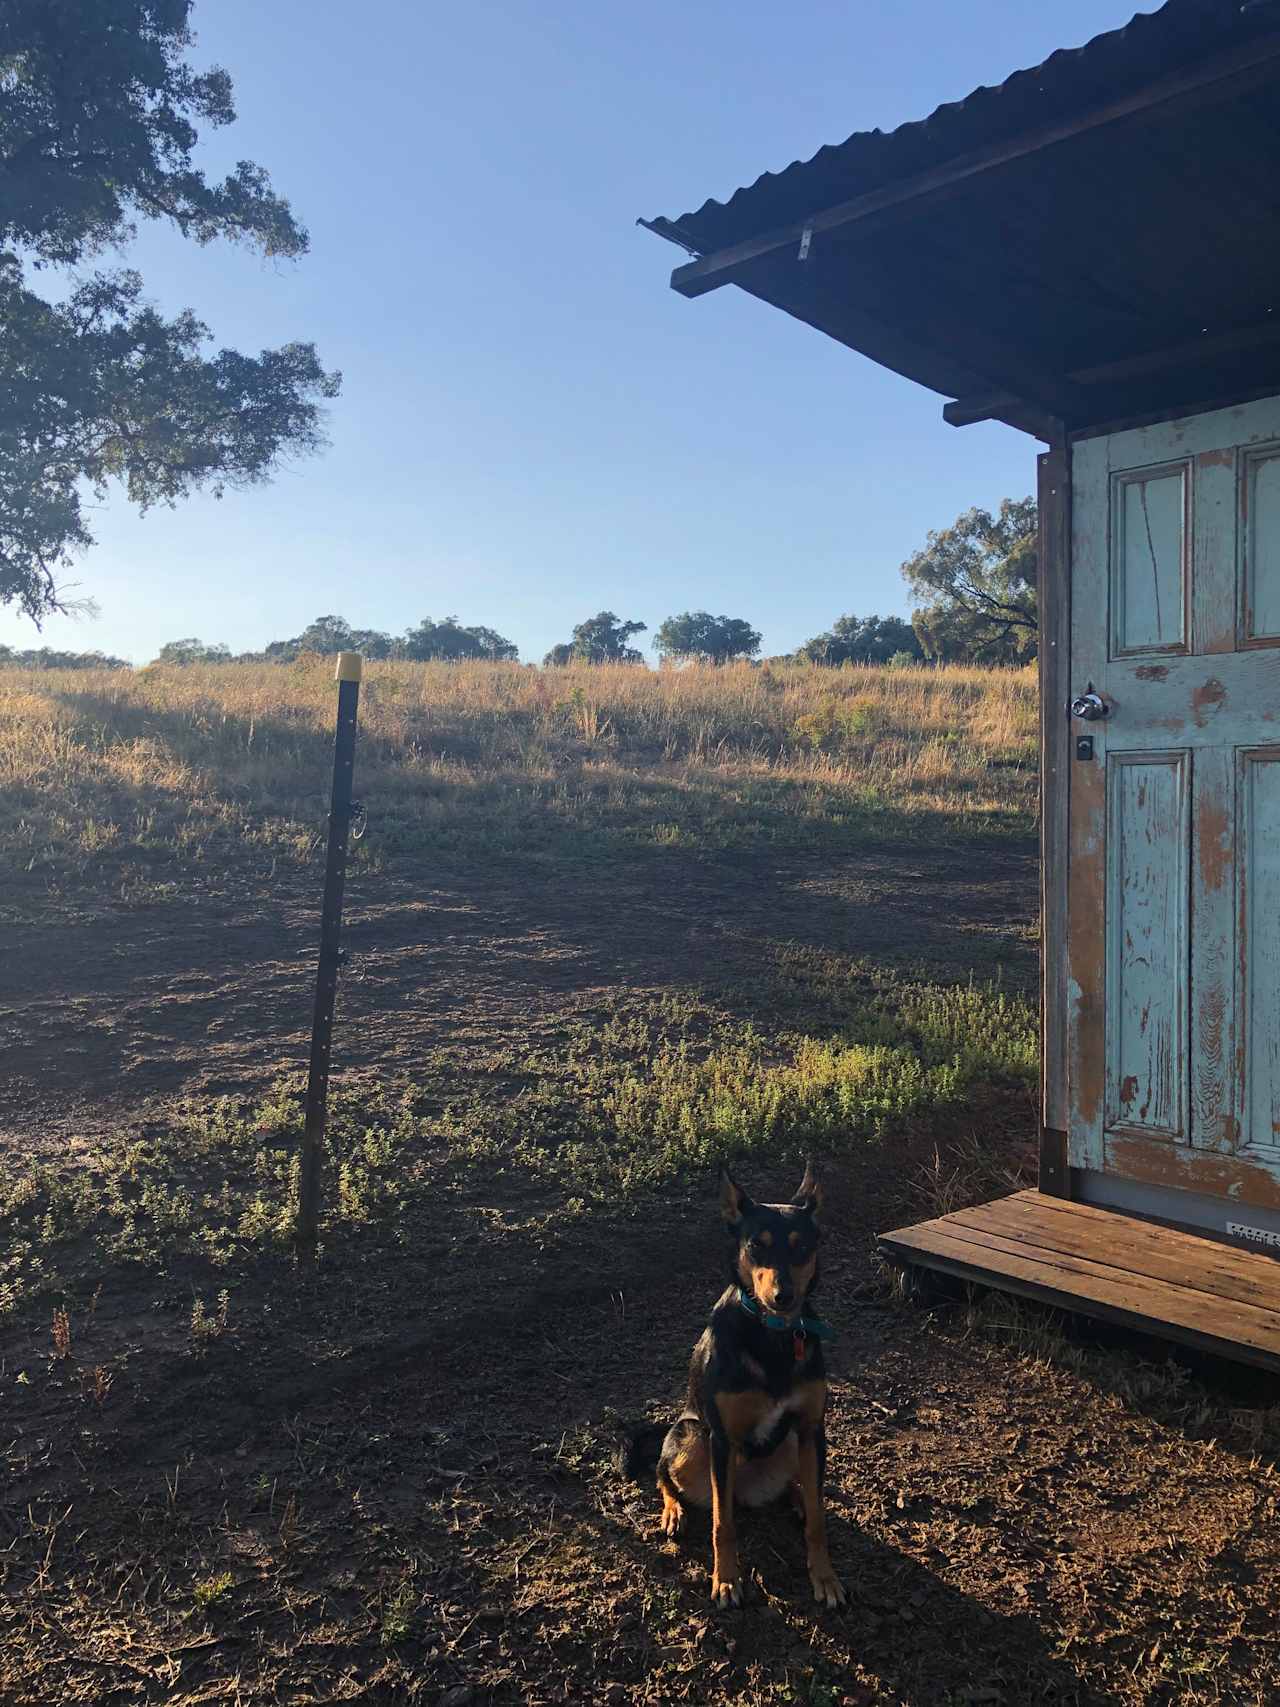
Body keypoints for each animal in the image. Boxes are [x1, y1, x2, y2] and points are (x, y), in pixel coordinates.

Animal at [655, 1167, 846, 1604]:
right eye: (756, 1245)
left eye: (801, 1247)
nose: (782, 1295)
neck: (773, 1335)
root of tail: (746, 1488)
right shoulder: (722, 1439)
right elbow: (722, 1524)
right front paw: (726, 1579)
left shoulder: (812, 1429)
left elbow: (819, 1521)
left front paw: (825, 1577)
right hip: (692, 1440)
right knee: (665, 1474)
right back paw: (673, 1512)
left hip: (791, 1443)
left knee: (799, 1486)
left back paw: (797, 1498)